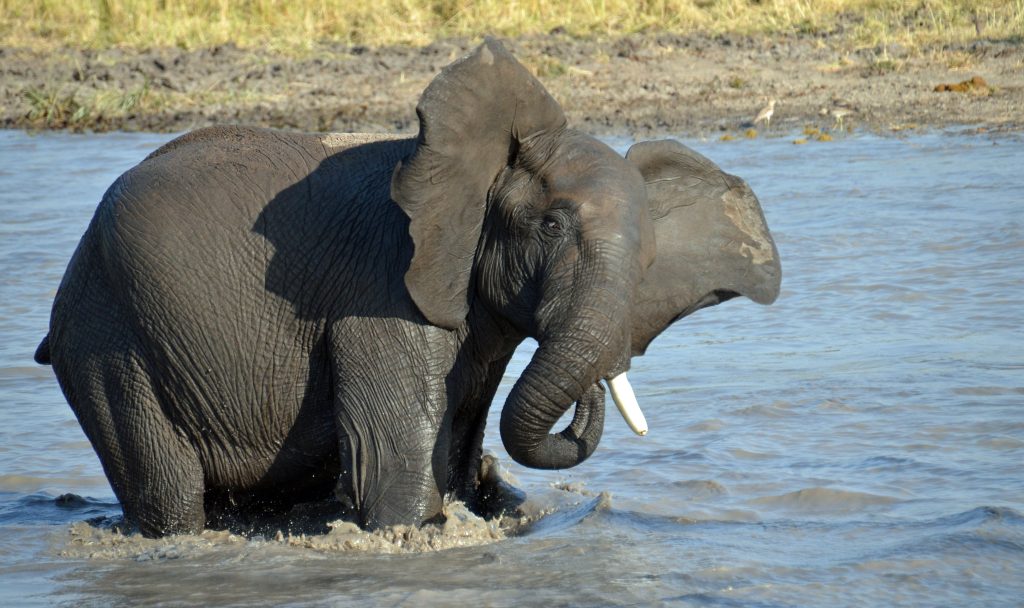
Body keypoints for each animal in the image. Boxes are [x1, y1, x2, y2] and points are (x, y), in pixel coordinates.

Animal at [34, 39, 781, 537]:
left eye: (650, 261)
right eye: (549, 226)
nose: (598, 385)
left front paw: (484, 490)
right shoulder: (383, 292)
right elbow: (396, 479)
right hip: (108, 341)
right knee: (170, 494)